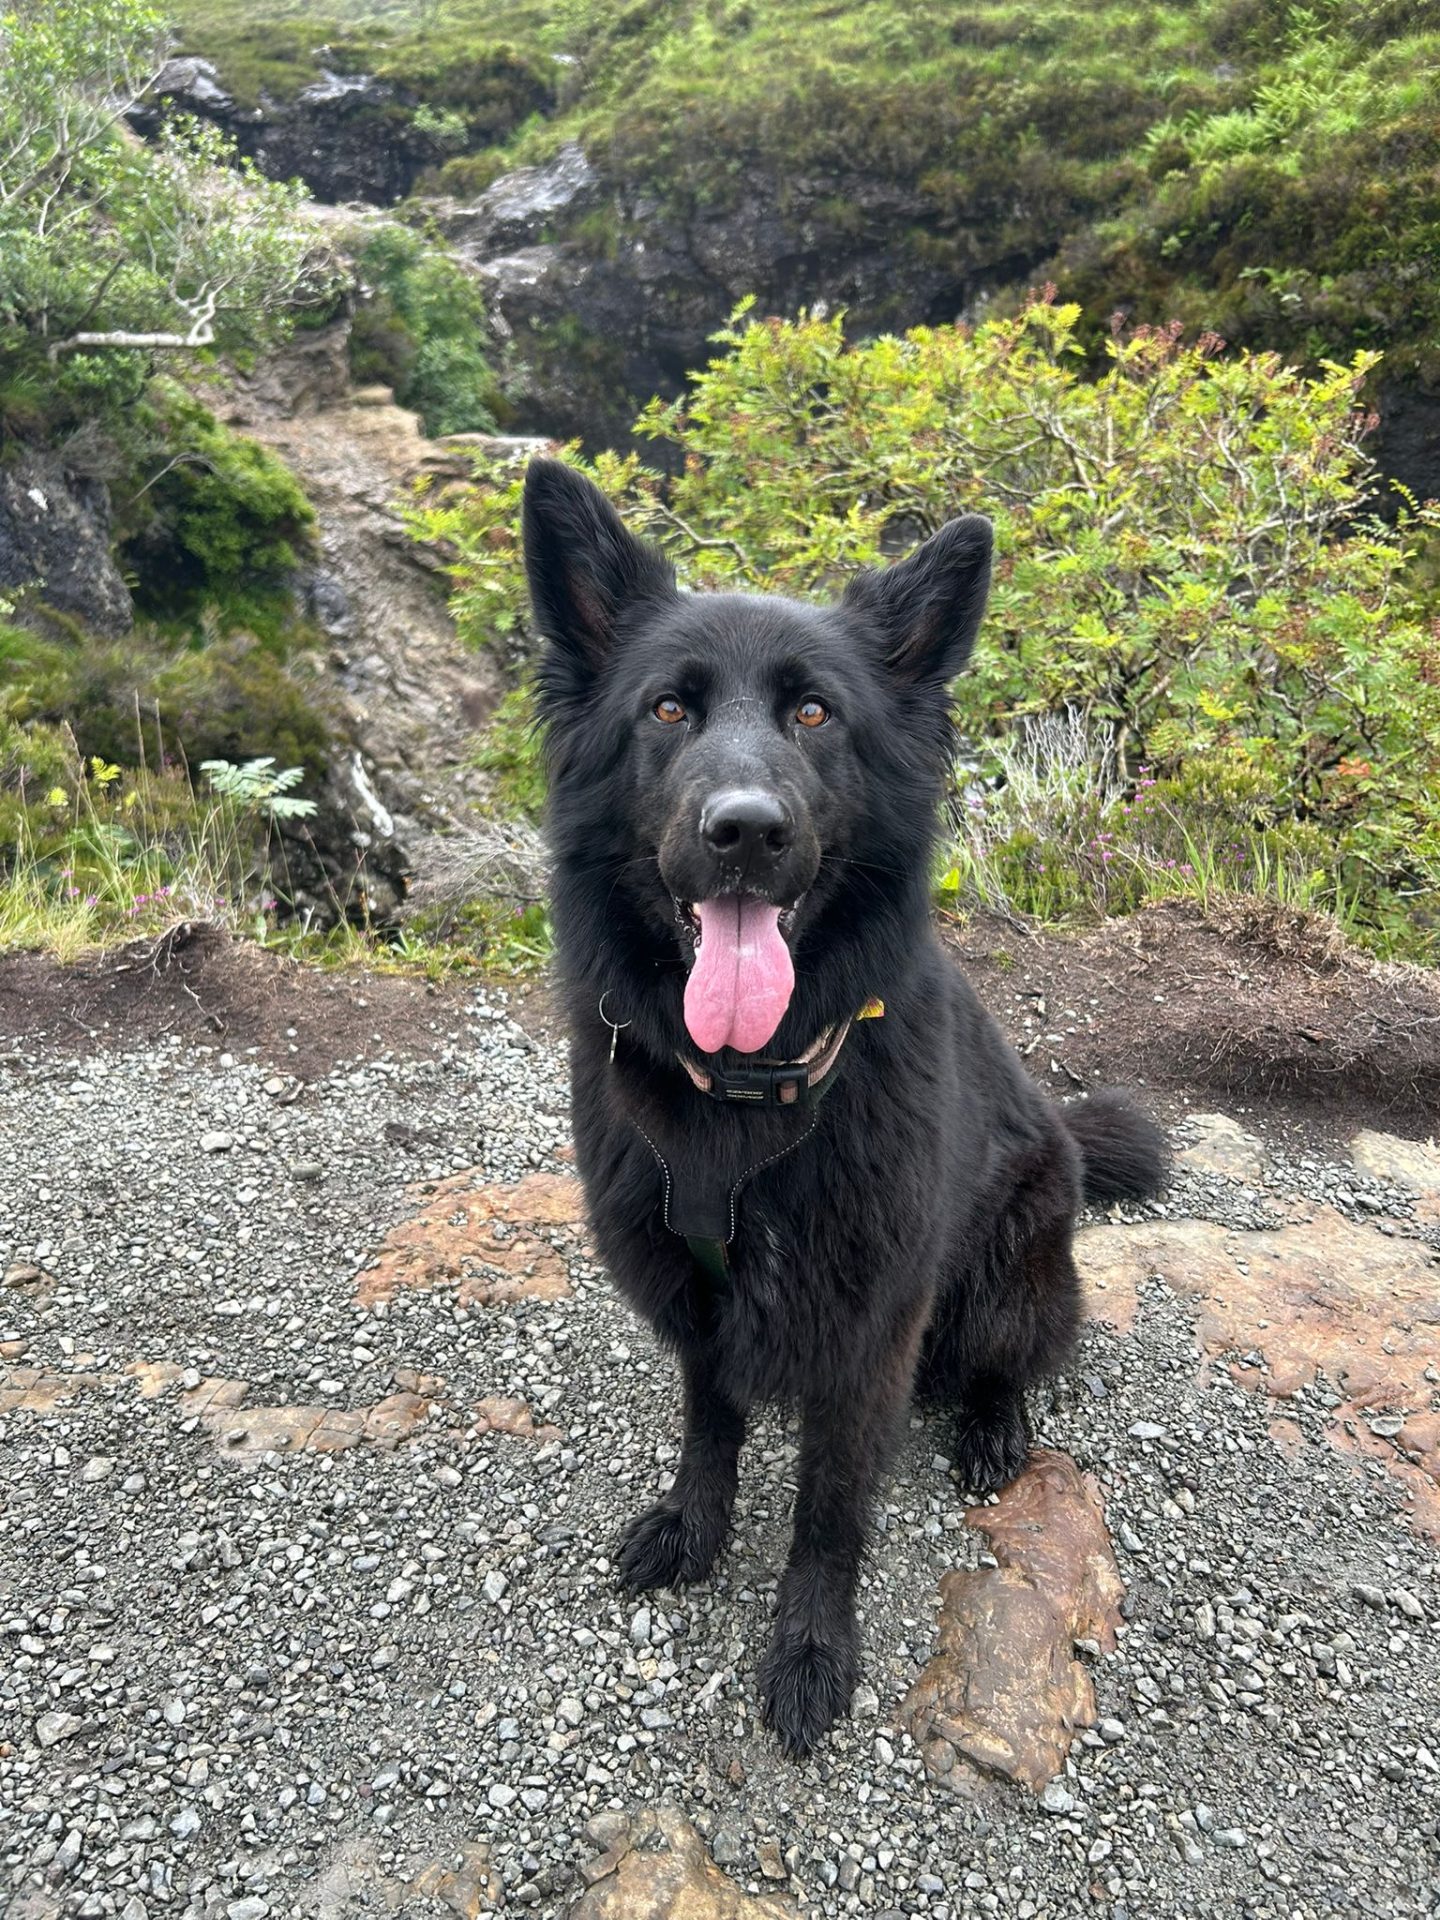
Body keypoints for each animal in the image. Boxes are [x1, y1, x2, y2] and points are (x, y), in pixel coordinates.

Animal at [523, 458, 1166, 1756]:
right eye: (667, 711)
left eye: (815, 715)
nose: (744, 831)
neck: (746, 1093)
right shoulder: (699, 1304)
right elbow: (709, 1427)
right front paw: (695, 1524)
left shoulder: (870, 1332)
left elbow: (829, 1508)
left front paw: (813, 1645)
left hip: (1008, 1280)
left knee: (1008, 1362)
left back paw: (995, 1430)